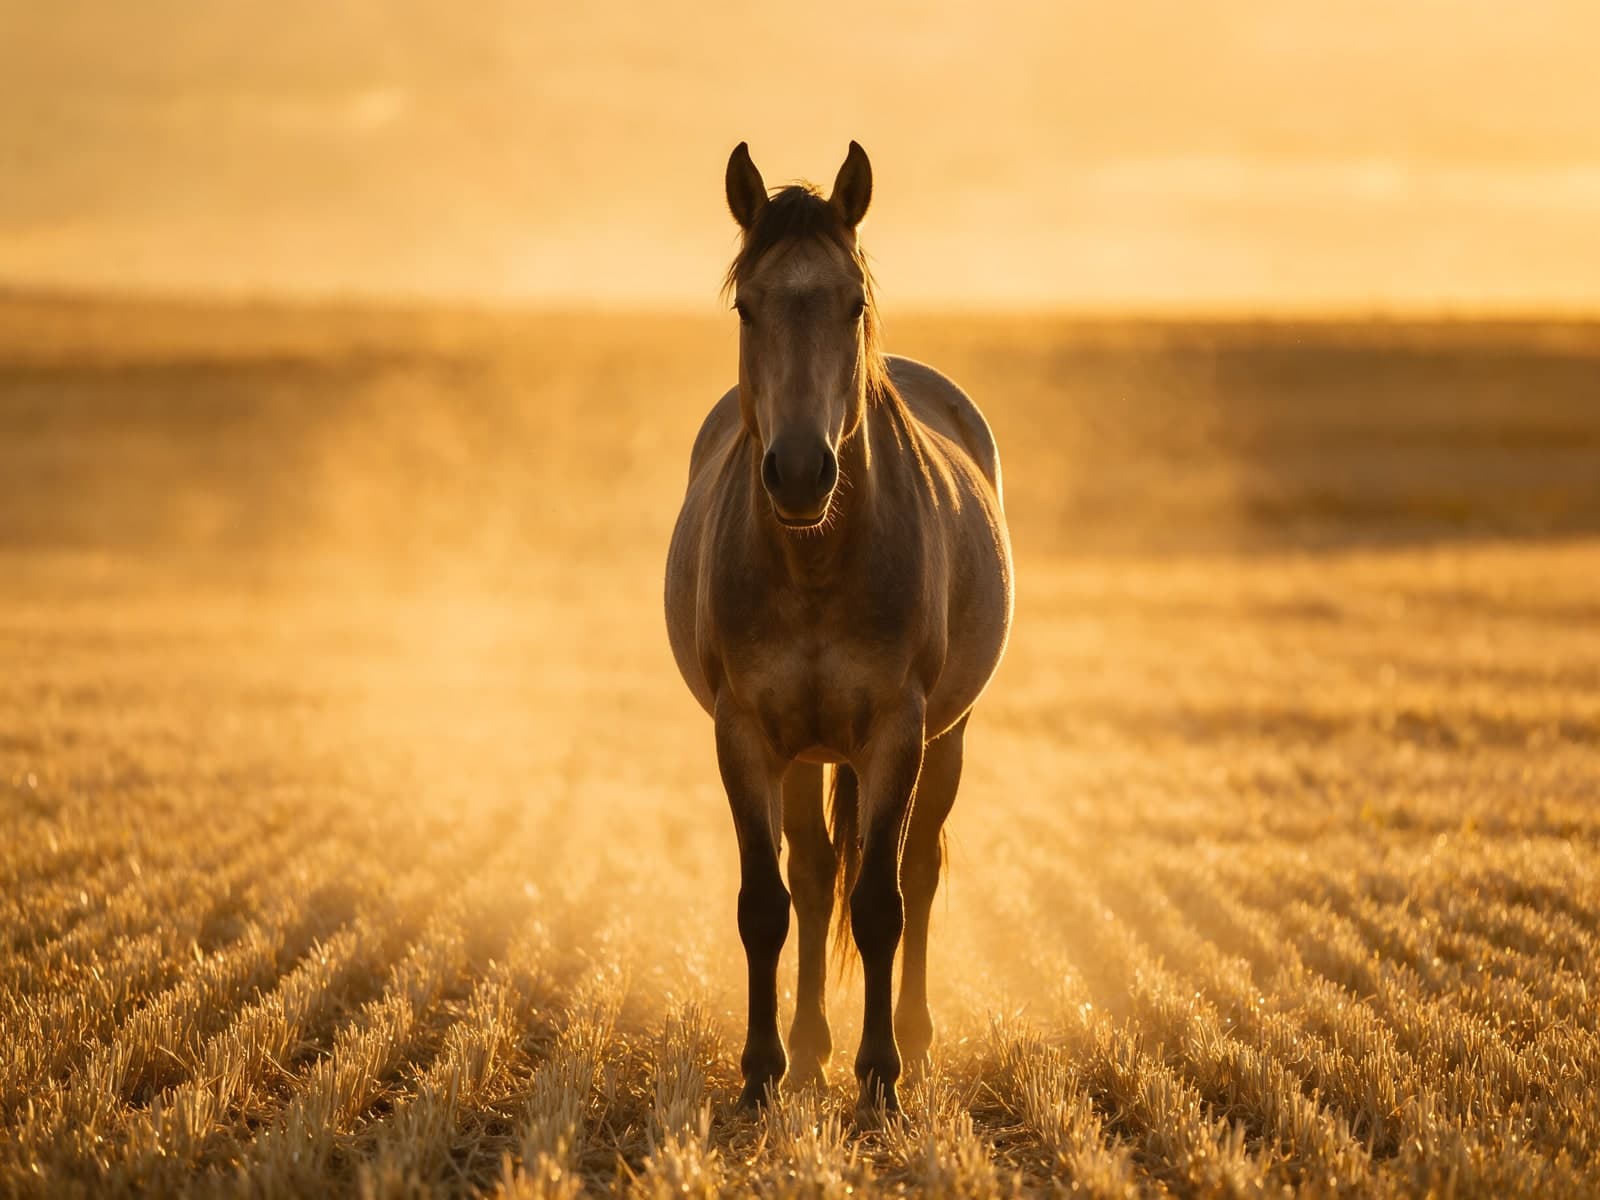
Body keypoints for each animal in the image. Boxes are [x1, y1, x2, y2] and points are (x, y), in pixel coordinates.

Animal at [663, 141, 1013, 1122]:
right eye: (747, 305)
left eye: (853, 302)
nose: (799, 471)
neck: (816, 563)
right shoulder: (745, 731)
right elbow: (767, 901)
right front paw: (761, 1070)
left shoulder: (898, 730)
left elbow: (884, 902)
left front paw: (882, 1076)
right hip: (804, 750)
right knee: (817, 877)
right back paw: (810, 1049)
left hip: (947, 736)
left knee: (918, 869)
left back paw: (915, 1044)